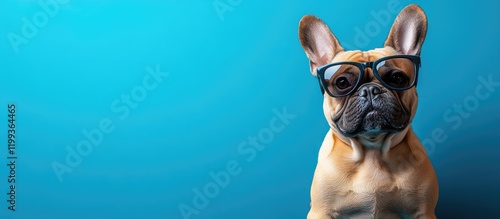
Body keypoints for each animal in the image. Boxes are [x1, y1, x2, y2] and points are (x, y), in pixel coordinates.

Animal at [300, 4, 438, 218]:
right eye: (342, 83)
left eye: (397, 79)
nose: (370, 90)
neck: (372, 152)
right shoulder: (320, 212)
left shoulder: (423, 212)